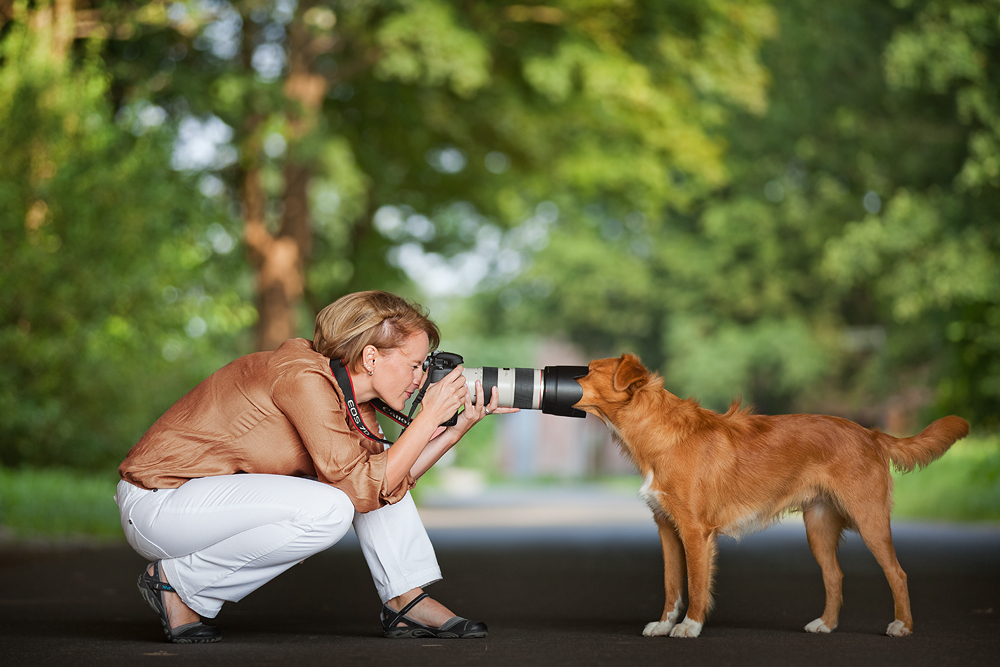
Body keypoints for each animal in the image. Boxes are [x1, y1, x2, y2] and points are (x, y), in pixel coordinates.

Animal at [572, 352, 968, 640]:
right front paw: (665, 623)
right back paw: (826, 624)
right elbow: (672, 584)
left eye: (586, 371)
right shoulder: (668, 529)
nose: (566, 375)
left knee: (897, 573)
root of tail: (870, 434)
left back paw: (903, 626)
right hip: (818, 527)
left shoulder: (696, 532)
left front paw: (690, 626)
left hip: (870, 521)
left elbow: (697, 585)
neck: (661, 433)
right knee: (835, 576)